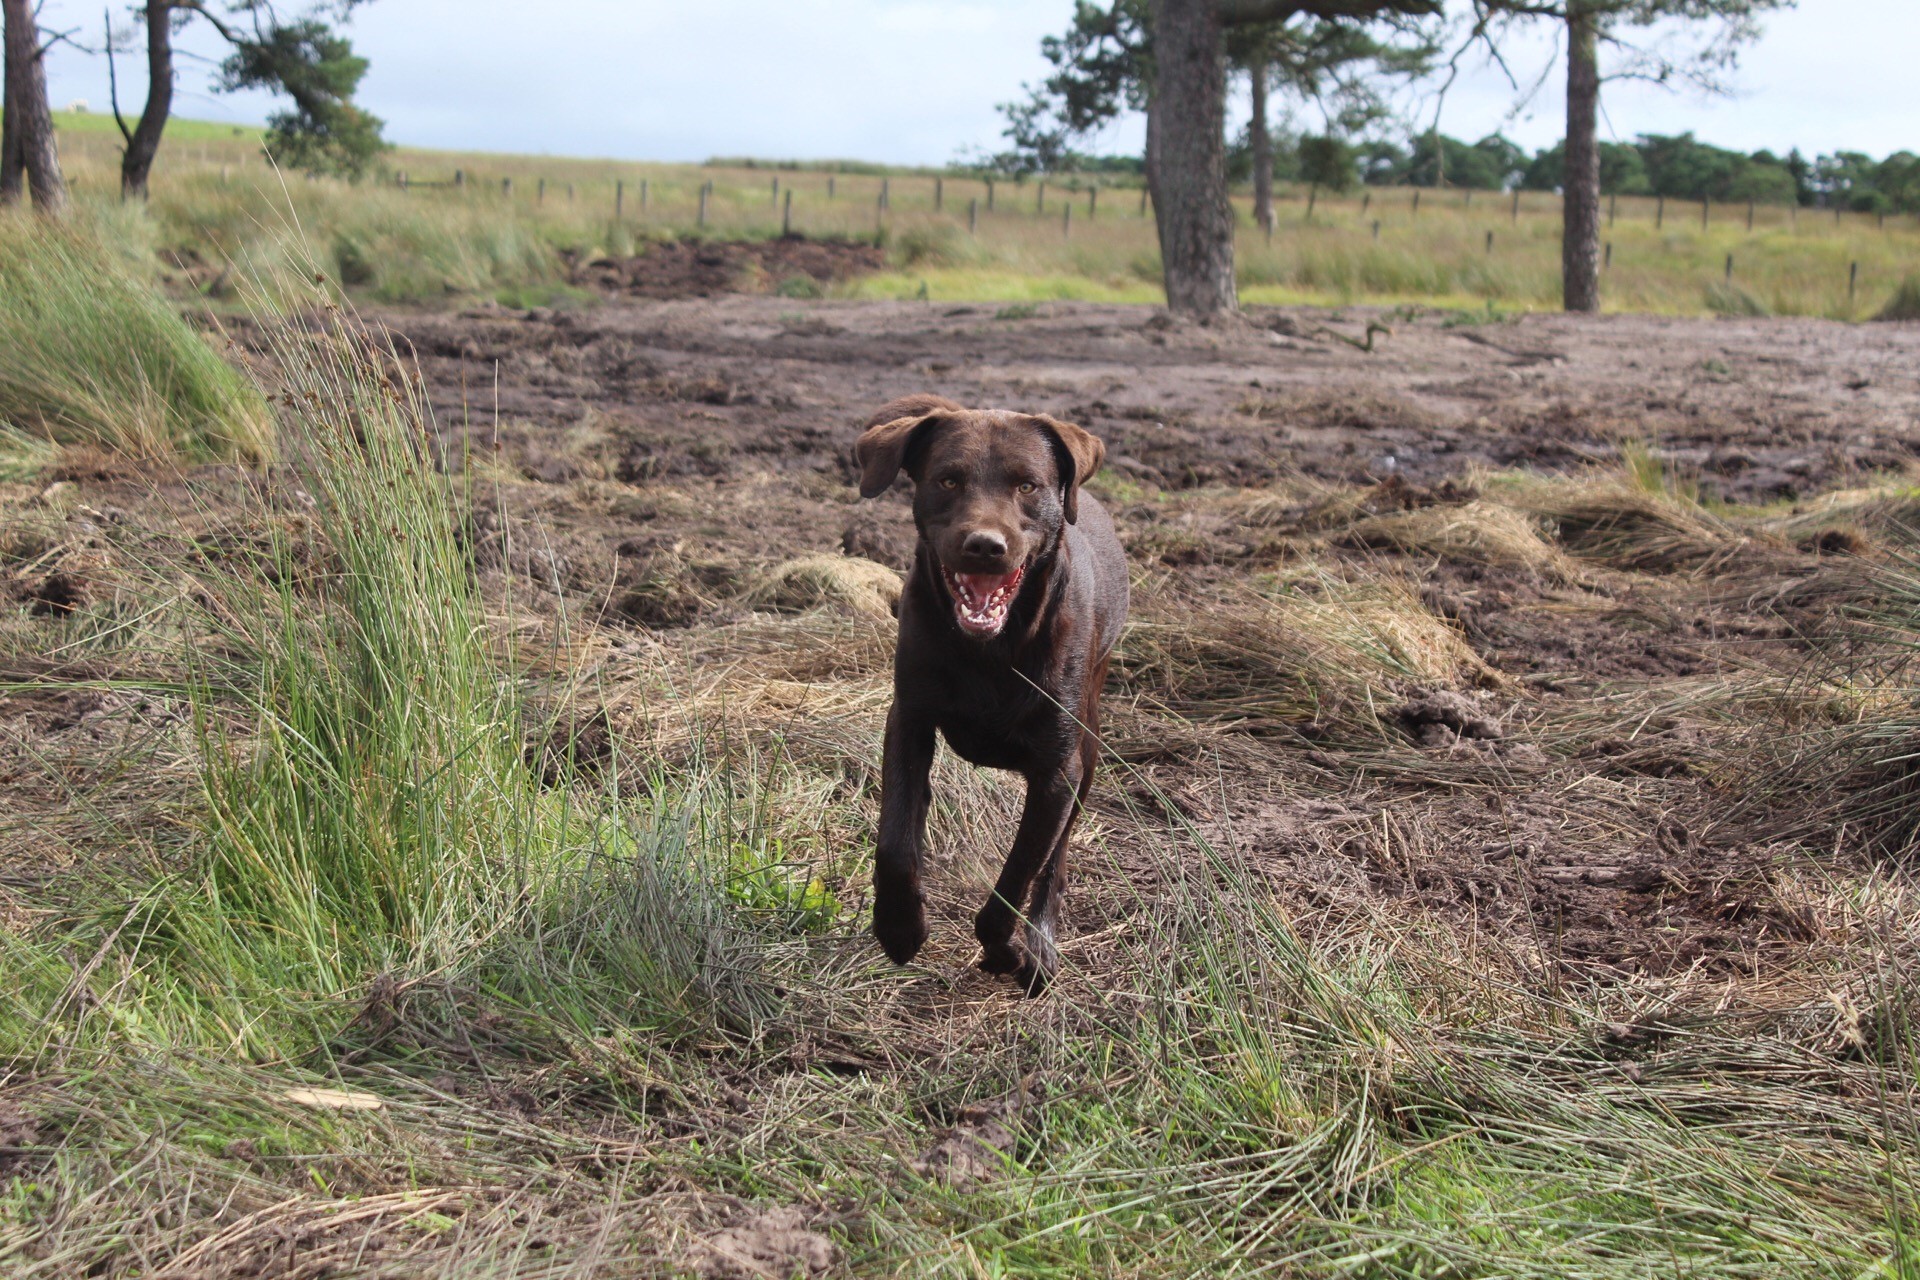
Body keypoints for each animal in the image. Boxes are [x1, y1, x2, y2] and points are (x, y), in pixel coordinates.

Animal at [856, 395, 1121, 997]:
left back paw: (1041, 946)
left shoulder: (1058, 773)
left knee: (1055, 863)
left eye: (1027, 485)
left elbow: (1017, 879)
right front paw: (899, 927)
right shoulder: (908, 722)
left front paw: (1007, 953)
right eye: (948, 480)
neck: (990, 651)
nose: (984, 546)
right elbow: (895, 844)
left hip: (1089, 743)